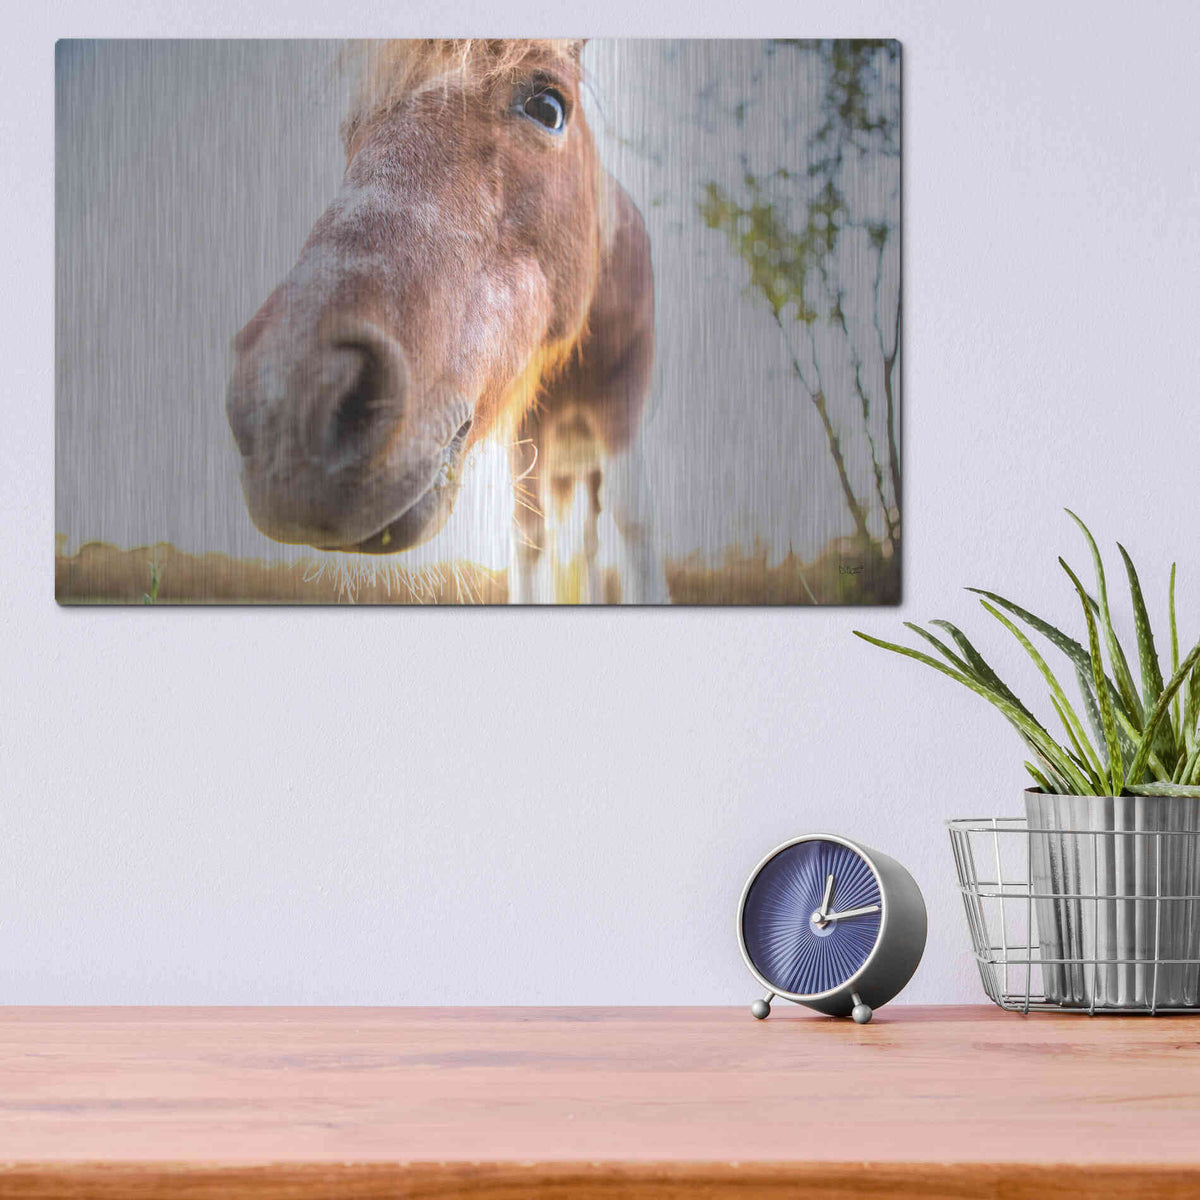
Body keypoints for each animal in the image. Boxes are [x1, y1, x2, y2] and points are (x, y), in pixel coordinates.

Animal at [225, 39, 667, 603]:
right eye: (353, 128)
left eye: (548, 107)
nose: (285, 404)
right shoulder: (526, 435)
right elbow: (528, 538)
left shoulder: (621, 409)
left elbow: (634, 526)